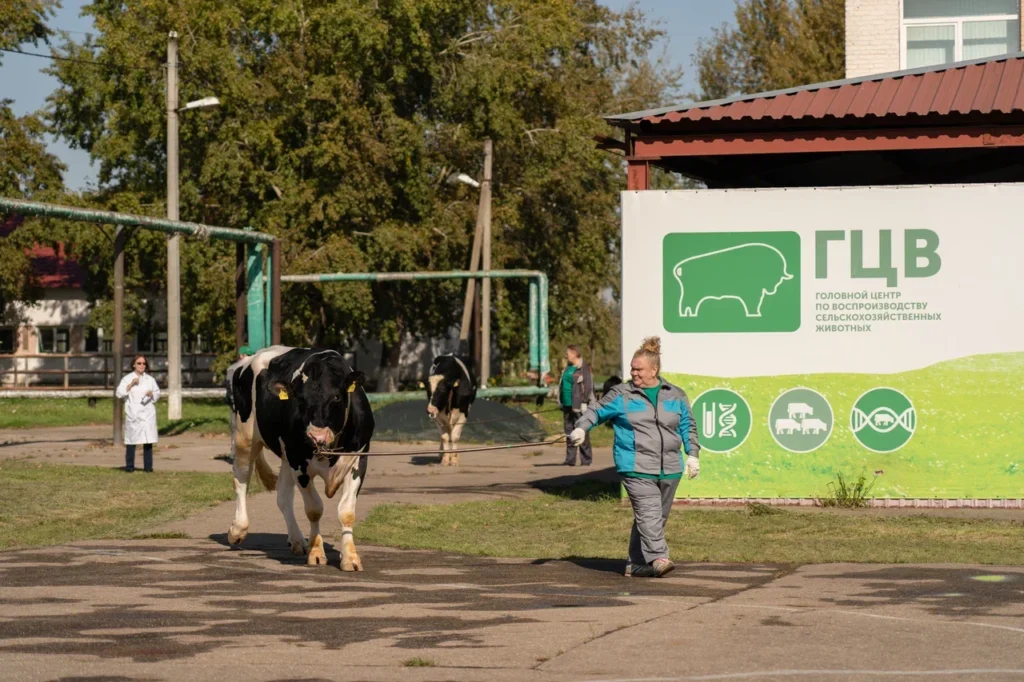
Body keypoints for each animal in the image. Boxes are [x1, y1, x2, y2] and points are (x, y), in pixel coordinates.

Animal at [226, 346, 374, 569]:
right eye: (301, 400)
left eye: (337, 398)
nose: (317, 436)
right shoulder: (298, 463)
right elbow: (314, 509)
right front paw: (316, 552)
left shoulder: (359, 460)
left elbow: (346, 512)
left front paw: (350, 558)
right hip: (245, 437)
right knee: (241, 481)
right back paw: (238, 530)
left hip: (285, 456)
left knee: (283, 497)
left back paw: (297, 540)